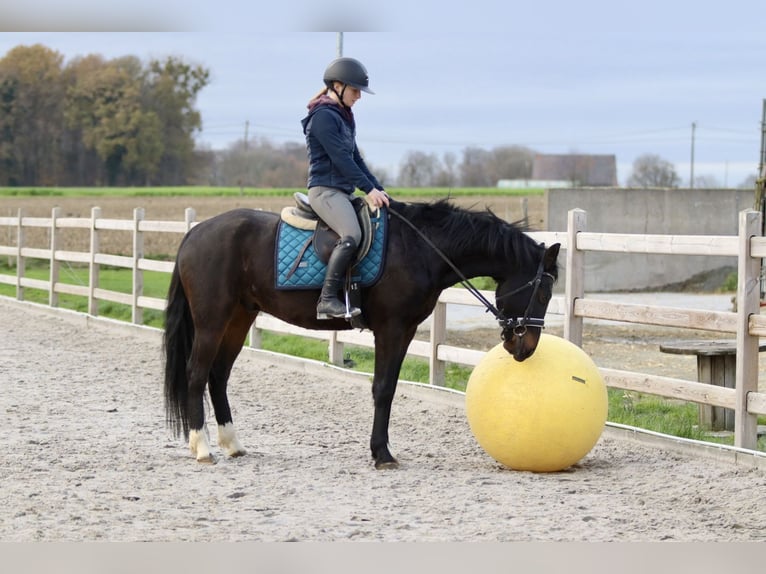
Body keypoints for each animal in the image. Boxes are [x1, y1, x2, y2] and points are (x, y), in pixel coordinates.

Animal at [163, 198, 560, 469]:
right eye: (543, 293)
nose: (525, 348)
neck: (421, 248)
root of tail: (195, 232)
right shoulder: (391, 328)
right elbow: (382, 389)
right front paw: (382, 454)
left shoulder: (405, 330)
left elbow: (389, 388)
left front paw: (381, 450)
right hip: (212, 320)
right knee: (196, 374)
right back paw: (202, 448)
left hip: (238, 318)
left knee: (218, 376)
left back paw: (232, 443)